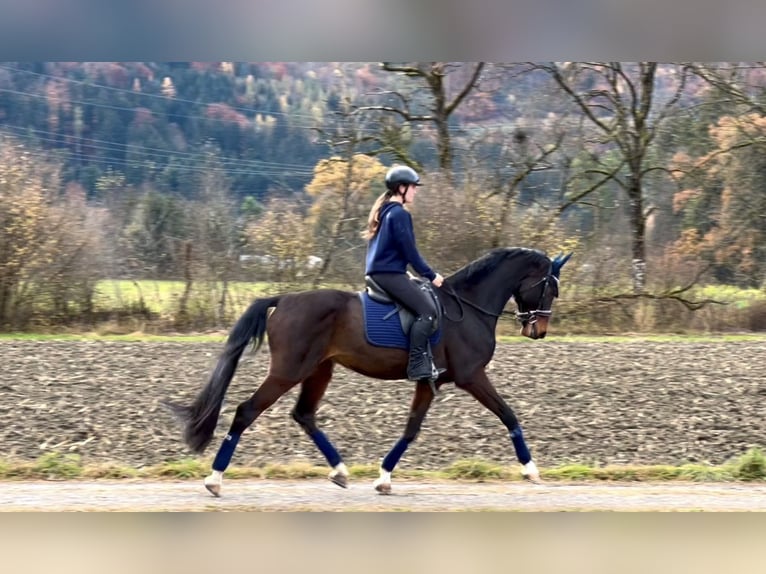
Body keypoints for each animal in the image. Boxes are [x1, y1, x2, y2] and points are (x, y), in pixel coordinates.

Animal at [165, 249, 572, 500]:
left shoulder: (430, 382)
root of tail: (285, 299)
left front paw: (384, 478)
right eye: (551, 287)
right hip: (288, 371)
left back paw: (340, 472)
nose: (538, 330)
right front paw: (531, 470)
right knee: (246, 411)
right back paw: (214, 480)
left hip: (318, 370)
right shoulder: (471, 377)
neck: (469, 307)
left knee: (304, 415)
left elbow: (411, 429)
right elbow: (509, 415)